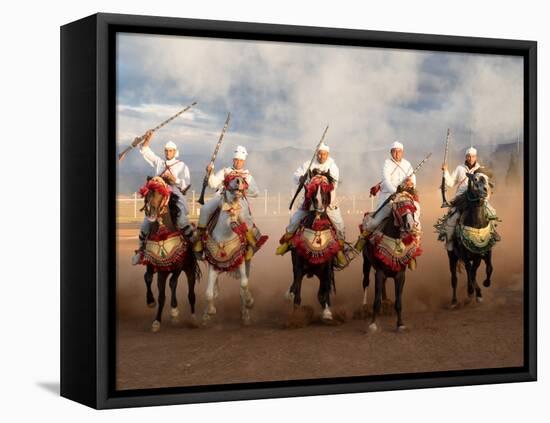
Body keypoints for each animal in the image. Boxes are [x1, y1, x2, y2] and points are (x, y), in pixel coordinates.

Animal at [137, 177, 202, 332]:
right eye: (147, 193)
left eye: (161, 193)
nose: (151, 212)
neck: (163, 234)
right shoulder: (158, 268)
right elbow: (158, 291)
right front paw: (156, 318)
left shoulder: (177, 266)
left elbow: (173, 283)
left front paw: (174, 312)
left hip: (189, 270)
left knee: (190, 294)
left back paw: (192, 319)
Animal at [203, 174, 270, 326]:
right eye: (229, 179)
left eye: (244, 180)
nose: (239, 181)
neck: (225, 234)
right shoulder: (214, 265)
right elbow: (208, 293)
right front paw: (209, 312)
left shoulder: (240, 261)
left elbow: (244, 285)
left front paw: (249, 303)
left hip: (247, 262)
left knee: (243, 287)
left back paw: (245, 313)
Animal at [286, 171, 342, 322]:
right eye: (312, 187)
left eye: (326, 187)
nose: (319, 204)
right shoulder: (299, 265)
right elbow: (297, 290)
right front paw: (295, 315)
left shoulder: (327, 267)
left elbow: (326, 289)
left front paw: (327, 313)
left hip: (320, 273)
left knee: (321, 291)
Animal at [360, 190, 424, 332]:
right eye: (399, 206)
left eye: (412, 206)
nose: (410, 225)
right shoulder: (379, 273)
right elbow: (376, 301)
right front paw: (372, 324)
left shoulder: (400, 275)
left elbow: (398, 302)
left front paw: (400, 324)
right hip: (366, 262)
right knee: (366, 282)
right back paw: (364, 306)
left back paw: (385, 303)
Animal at [440, 172, 500, 308]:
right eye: (475, 179)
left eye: (487, 179)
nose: (485, 190)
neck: (477, 225)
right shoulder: (464, 255)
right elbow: (470, 272)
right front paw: (477, 293)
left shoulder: (484, 252)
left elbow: (489, 268)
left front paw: (485, 284)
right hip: (452, 256)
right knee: (455, 278)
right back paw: (455, 301)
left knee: (471, 271)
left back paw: (469, 292)